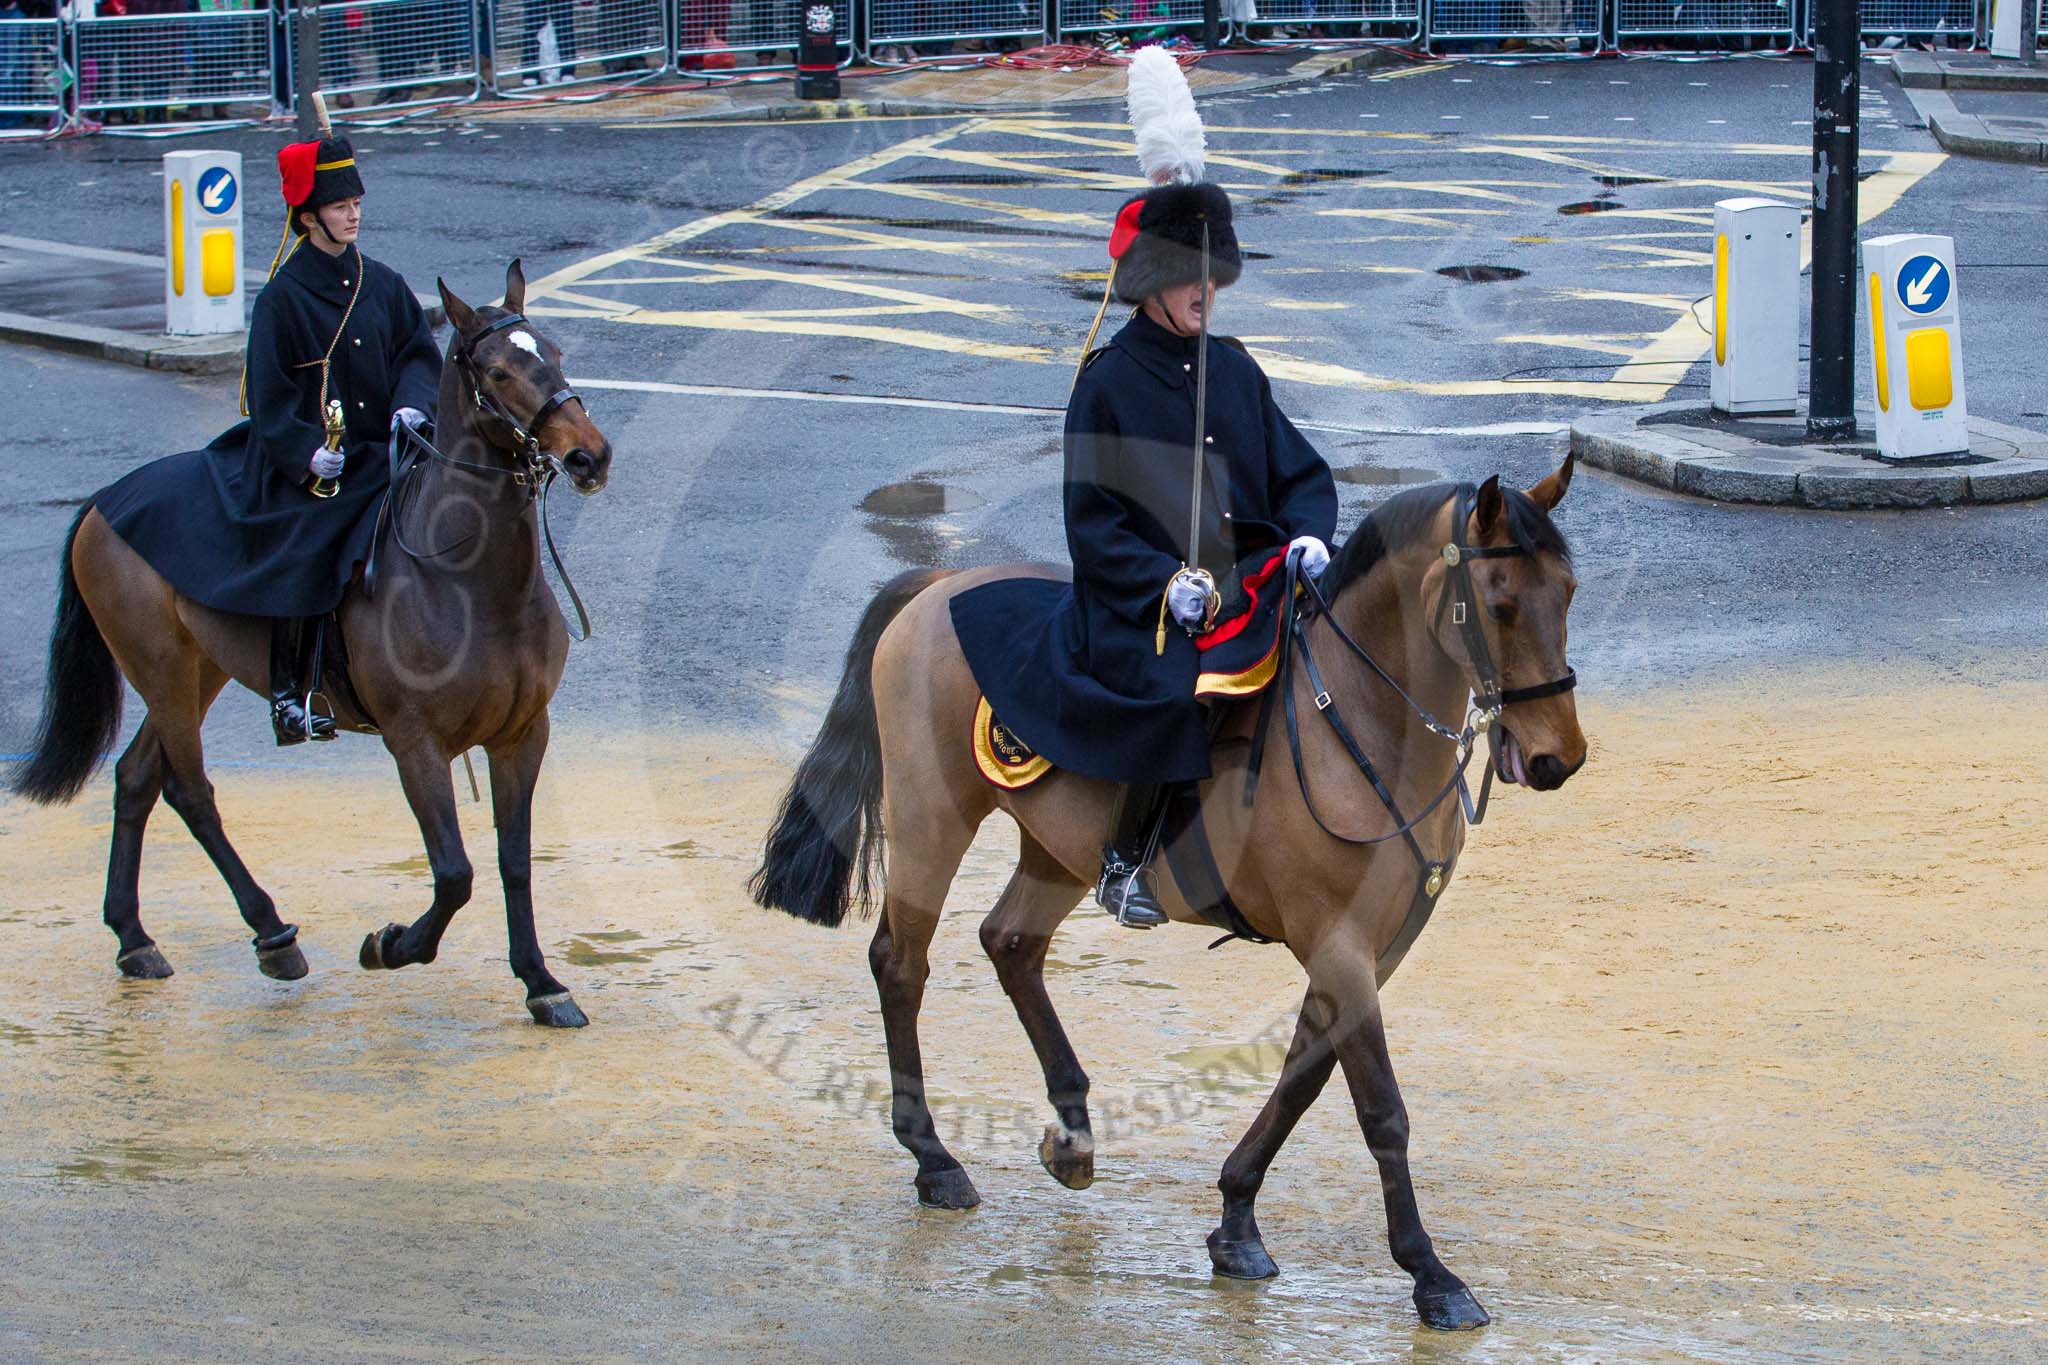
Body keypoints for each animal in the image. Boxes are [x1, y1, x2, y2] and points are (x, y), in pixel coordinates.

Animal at [9, 261, 613, 1028]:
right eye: (501, 372)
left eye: (557, 353)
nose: (590, 456)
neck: (471, 583)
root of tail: (109, 496)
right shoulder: (414, 743)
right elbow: (454, 873)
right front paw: (391, 945)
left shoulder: (522, 734)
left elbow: (514, 861)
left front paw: (540, 980)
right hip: (163, 671)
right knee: (189, 789)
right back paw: (272, 934)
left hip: (195, 670)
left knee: (138, 777)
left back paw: (134, 937)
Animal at [751, 462, 1585, 1330]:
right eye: (1500, 604)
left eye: (1568, 590)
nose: (1557, 756)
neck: (1362, 723)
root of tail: (941, 582)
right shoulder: (1339, 944)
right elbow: (1380, 1107)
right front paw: (1430, 1272)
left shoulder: (1369, 952)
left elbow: (1302, 1076)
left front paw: (1236, 1220)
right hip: (931, 818)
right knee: (901, 964)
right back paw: (933, 1156)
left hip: (1056, 848)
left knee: (1010, 942)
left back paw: (1073, 1134)